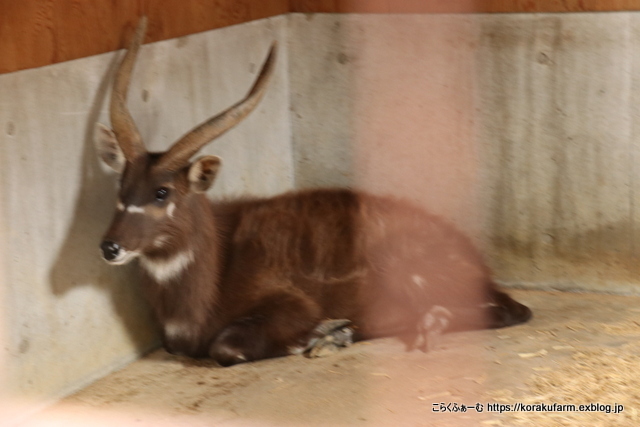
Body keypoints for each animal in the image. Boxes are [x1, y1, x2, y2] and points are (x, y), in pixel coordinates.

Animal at [97, 17, 532, 368]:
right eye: (122, 185)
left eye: (162, 191)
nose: (110, 247)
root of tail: (473, 256)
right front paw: (331, 334)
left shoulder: (290, 302)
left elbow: (227, 347)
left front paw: (321, 334)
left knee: (512, 310)